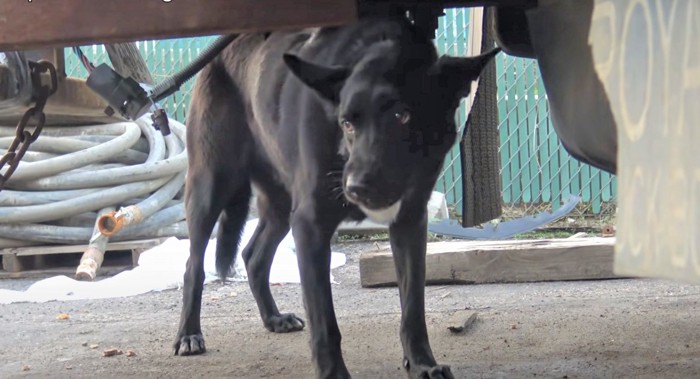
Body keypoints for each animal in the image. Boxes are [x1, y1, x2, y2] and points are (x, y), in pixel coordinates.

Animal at [178, 15, 500, 379]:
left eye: (402, 115)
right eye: (347, 123)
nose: (356, 187)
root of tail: (217, 53)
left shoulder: (410, 222)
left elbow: (413, 308)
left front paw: (422, 364)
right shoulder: (310, 225)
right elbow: (325, 323)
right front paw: (333, 372)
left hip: (281, 206)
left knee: (253, 255)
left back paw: (273, 317)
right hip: (211, 186)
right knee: (193, 265)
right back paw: (189, 334)